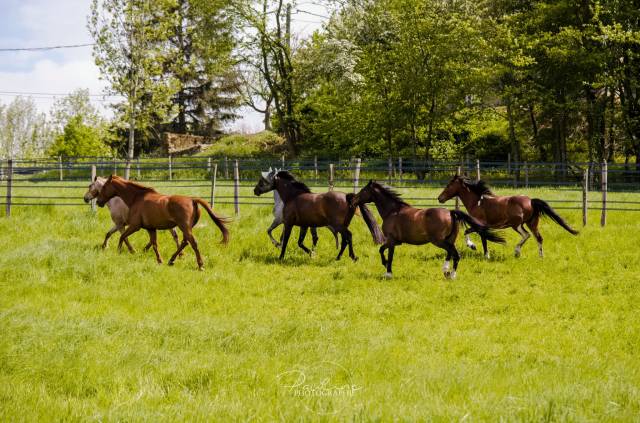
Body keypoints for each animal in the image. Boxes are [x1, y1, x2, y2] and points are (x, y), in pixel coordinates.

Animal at [97, 175, 230, 268]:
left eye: (104, 187)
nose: (98, 202)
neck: (137, 198)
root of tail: (192, 200)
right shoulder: (151, 228)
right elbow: (154, 244)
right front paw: (159, 260)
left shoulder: (135, 226)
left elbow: (122, 237)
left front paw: (119, 251)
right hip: (186, 228)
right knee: (184, 242)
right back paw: (171, 260)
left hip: (184, 227)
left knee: (192, 243)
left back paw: (200, 265)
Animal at [251, 171, 382, 260]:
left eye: (262, 181)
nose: (255, 191)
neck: (293, 196)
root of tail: (349, 197)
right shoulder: (304, 225)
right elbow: (300, 242)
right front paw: (312, 254)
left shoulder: (288, 223)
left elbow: (285, 240)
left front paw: (281, 257)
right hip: (342, 226)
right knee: (345, 240)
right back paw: (338, 257)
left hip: (338, 226)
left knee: (348, 236)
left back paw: (353, 257)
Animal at [350, 181, 504, 278]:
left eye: (363, 190)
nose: (353, 200)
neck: (393, 211)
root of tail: (450, 212)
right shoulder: (395, 242)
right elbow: (383, 251)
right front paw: (386, 268)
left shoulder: (392, 240)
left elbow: (385, 252)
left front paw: (387, 272)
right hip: (449, 240)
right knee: (451, 253)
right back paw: (447, 271)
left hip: (439, 241)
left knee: (455, 254)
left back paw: (451, 274)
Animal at [436, 175, 580, 258]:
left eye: (448, 185)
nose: (439, 198)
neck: (477, 202)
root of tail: (531, 201)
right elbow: (473, 234)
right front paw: (477, 249)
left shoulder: (480, 225)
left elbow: (477, 236)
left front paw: (479, 250)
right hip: (532, 223)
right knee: (538, 238)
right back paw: (540, 257)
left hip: (516, 225)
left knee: (526, 235)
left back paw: (517, 252)